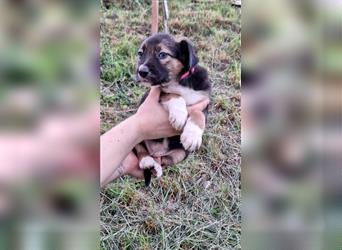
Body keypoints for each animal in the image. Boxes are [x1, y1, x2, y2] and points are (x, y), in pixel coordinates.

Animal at [134, 32, 211, 186]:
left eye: (162, 54)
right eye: (140, 53)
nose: (141, 71)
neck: (179, 80)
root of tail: (156, 152)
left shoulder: (204, 102)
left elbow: (198, 114)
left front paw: (192, 136)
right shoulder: (160, 91)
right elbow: (174, 94)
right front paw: (179, 116)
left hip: (180, 154)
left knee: (163, 161)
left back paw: (156, 166)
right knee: (141, 150)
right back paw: (147, 161)